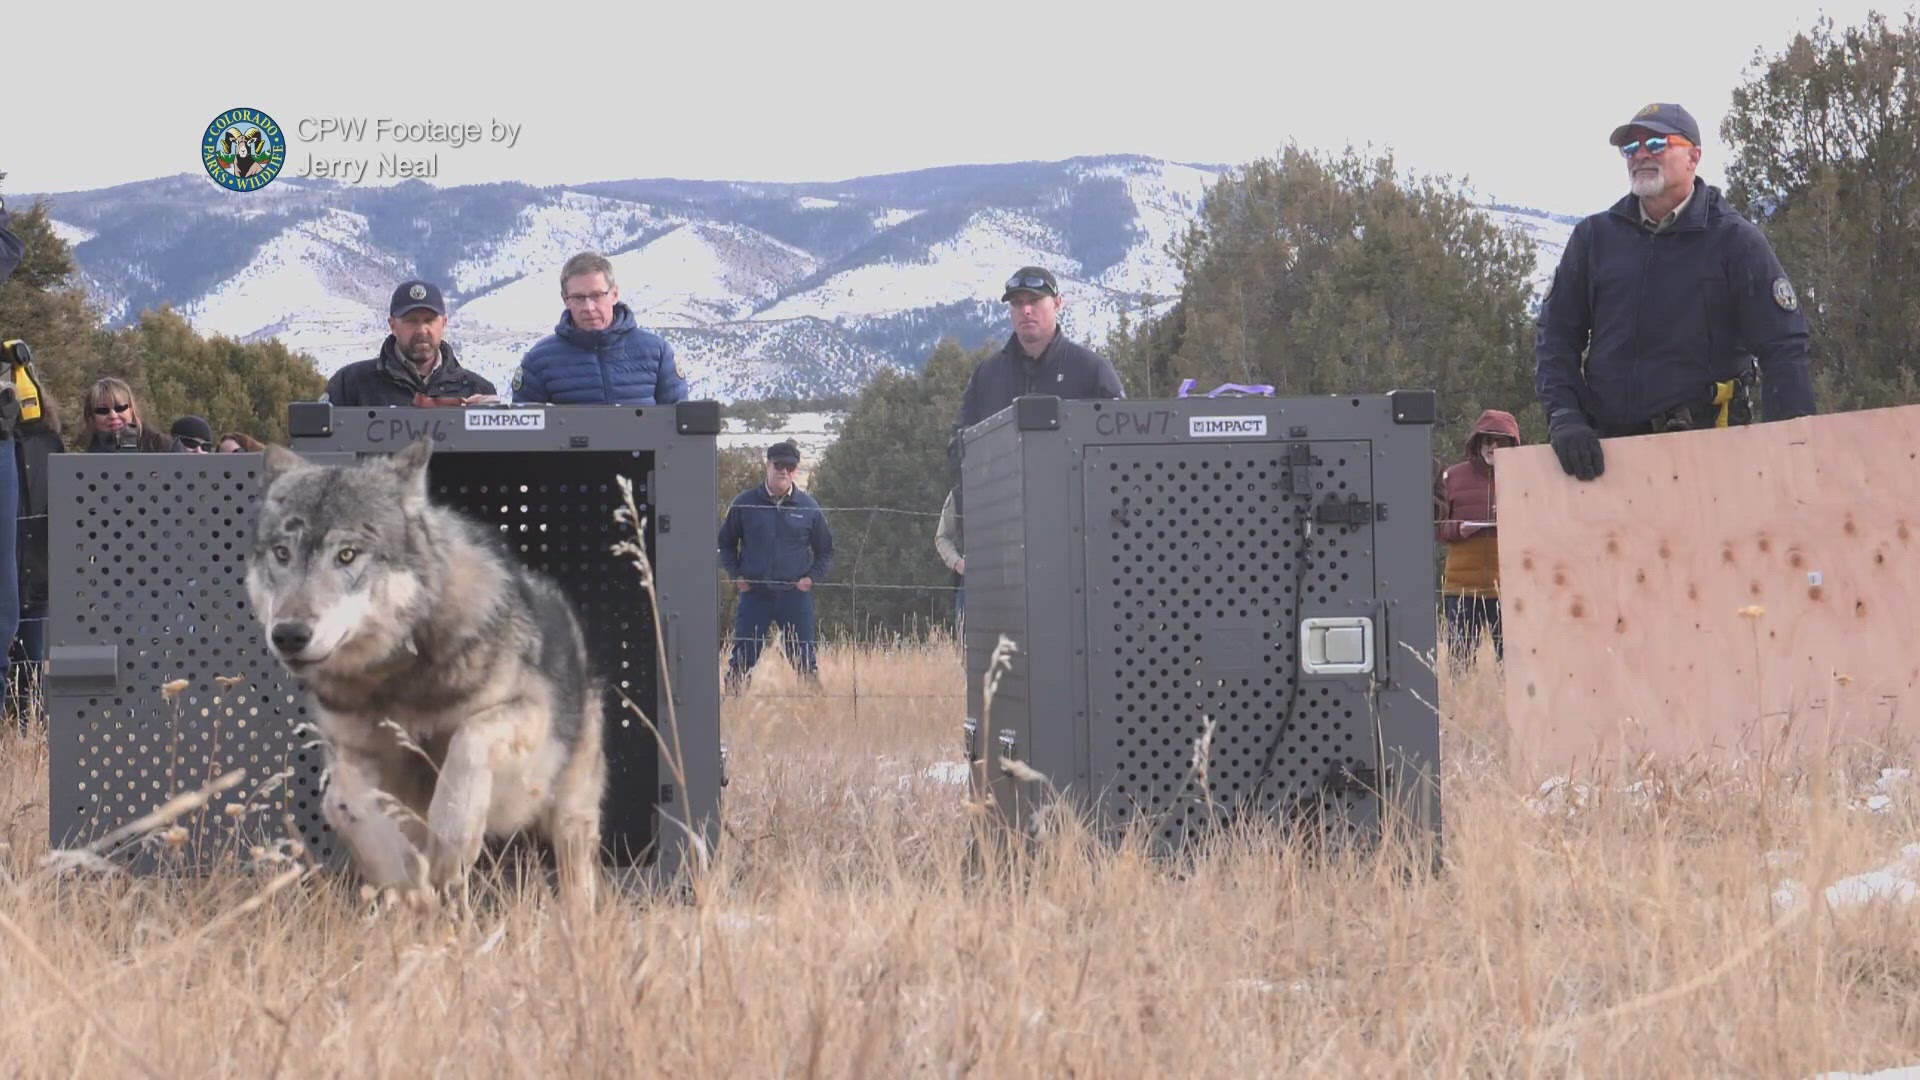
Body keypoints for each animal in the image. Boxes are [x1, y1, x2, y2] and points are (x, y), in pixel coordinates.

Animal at [247, 438, 602, 907]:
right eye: (282, 554)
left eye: (347, 555)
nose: (288, 634)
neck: (398, 680)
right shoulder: (352, 754)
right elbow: (342, 801)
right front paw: (409, 881)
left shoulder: (527, 714)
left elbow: (468, 741)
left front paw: (452, 842)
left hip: (571, 816)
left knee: (579, 880)